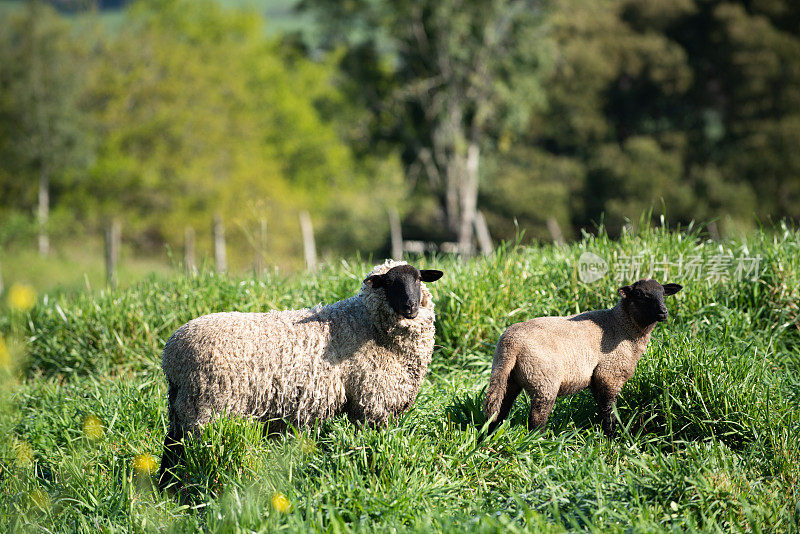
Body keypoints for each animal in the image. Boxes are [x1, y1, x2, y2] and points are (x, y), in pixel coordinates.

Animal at [156, 262, 444, 492]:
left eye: (418, 279)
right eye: (390, 284)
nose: (411, 306)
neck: (366, 322)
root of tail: (171, 355)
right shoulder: (372, 400)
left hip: (182, 405)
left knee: (171, 445)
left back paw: (164, 489)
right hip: (207, 404)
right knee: (195, 449)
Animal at [482, 278, 680, 438]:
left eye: (663, 293)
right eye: (639, 294)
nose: (664, 312)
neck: (621, 325)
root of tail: (511, 343)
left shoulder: (597, 379)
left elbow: (602, 407)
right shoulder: (609, 374)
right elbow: (609, 410)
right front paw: (612, 437)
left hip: (507, 377)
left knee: (498, 410)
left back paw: (489, 437)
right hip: (543, 380)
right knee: (536, 419)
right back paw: (540, 441)